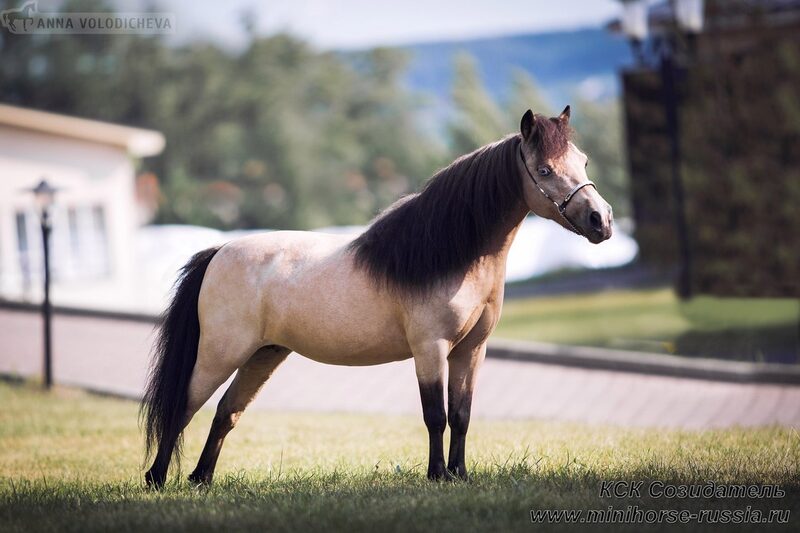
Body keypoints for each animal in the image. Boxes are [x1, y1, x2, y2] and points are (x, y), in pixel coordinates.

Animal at [142, 106, 612, 484]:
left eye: (584, 160)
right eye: (545, 169)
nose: (601, 220)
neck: (452, 255)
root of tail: (220, 251)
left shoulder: (471, 350)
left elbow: (461, 415)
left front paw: (460, 474)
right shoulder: (430, 349)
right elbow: (435, 415)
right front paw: (437, 476)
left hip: (263, 354)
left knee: (226, 412)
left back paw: (201, 479)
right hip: (221, 353)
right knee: (184, 406)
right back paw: (158, 479)